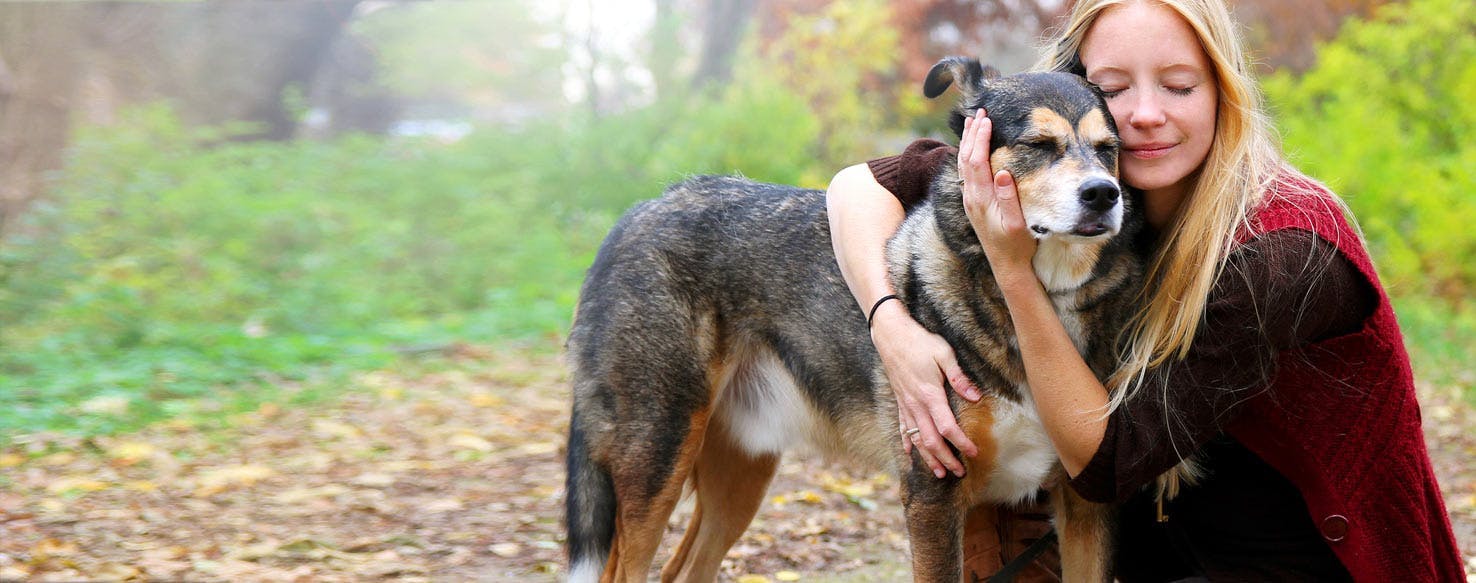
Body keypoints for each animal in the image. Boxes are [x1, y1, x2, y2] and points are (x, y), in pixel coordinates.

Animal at [563, 56, 1139, 583]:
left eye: (1109, 150)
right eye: (1038, 145)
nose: (1102, 194)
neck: (1039, 300)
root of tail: (638, 212)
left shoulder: (1086, 503)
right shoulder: (933, 493)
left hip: (739, 474)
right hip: (659, 454)